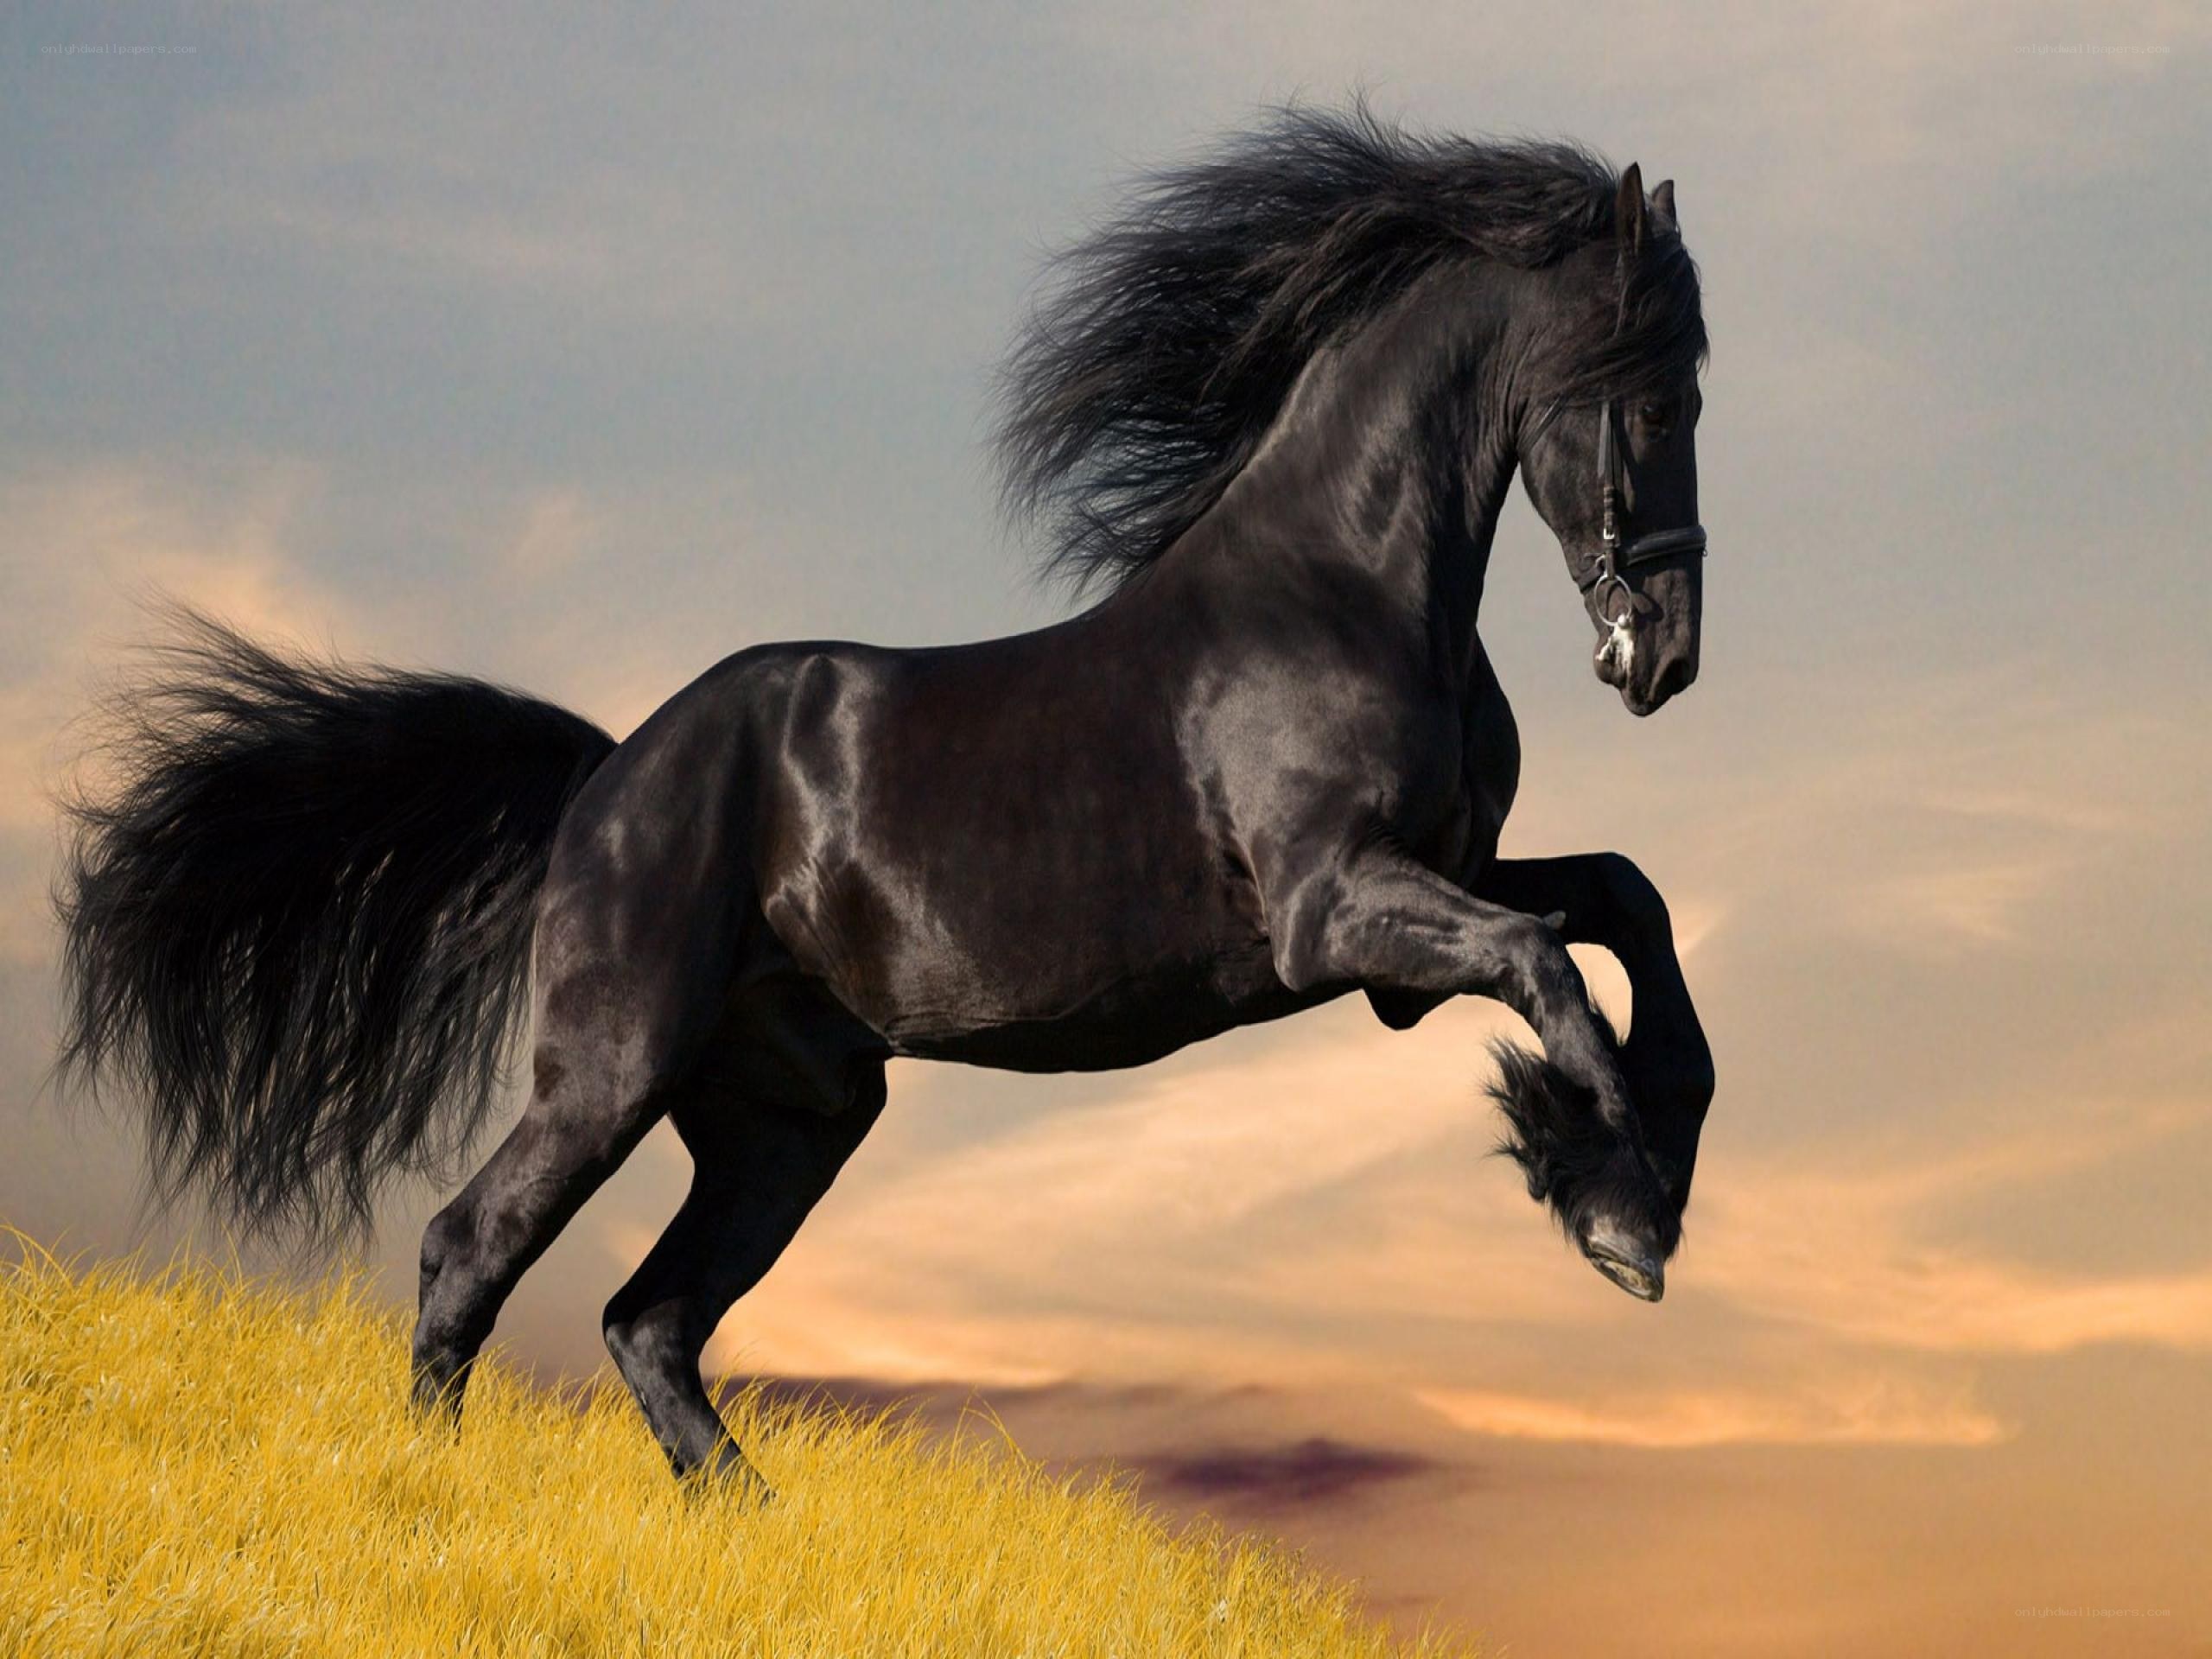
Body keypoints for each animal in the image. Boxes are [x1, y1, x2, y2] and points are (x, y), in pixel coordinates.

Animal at [56, 105, 1715, 1488]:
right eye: (1648, 400)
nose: (1666, 656)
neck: (1343, 592)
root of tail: (606, 775)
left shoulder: (1436, 896)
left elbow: (1626, 903)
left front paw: (1636, 1172)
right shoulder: (1337, 915)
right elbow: (1552, 962)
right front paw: (1619, 1212)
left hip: (792, 1116)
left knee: (649, 1319)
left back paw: (750, 1525)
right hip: (613, 1067)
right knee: (473, 1249)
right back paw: (436, 1491)